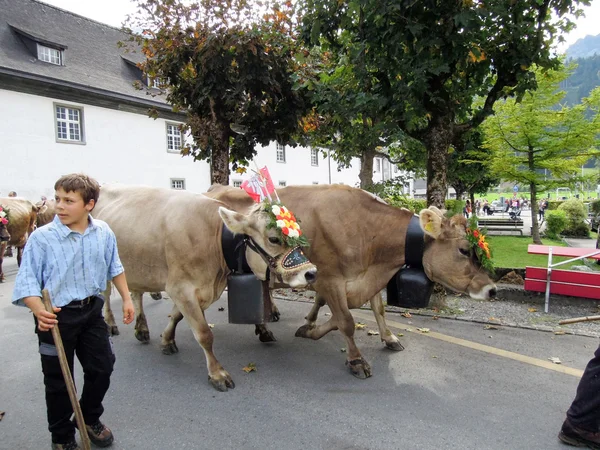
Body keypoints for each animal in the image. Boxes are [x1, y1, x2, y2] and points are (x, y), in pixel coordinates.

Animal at [92, 183, 318, 390]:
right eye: (273, 238)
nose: (311, 272)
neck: (214, 238)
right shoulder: (180, 288)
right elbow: (204, 334)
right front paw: (217, 374)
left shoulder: (193, 290)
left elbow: (176, 316)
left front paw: (167, 340)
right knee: (105, 293)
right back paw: (111, 324)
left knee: (136, 292)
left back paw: (141, 328)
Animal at [106, 183, 496, 380]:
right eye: (464, 250)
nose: (491, 288)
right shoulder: (332, 277)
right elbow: (346, 321)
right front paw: (354, 359)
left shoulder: (362, 279)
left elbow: (373, 309)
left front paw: (385, 337)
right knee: (134, 291)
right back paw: (135, 327)